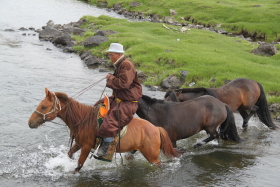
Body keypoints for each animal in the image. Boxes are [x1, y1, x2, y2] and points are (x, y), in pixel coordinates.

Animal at [27, 88, 182, 172]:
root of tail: (156, 129)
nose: (30, 123)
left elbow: (79, 166)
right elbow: (70, 154)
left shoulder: (86, 146)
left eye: (44, 107)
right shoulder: (79, 143)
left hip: (153, 157)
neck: (83, 120)